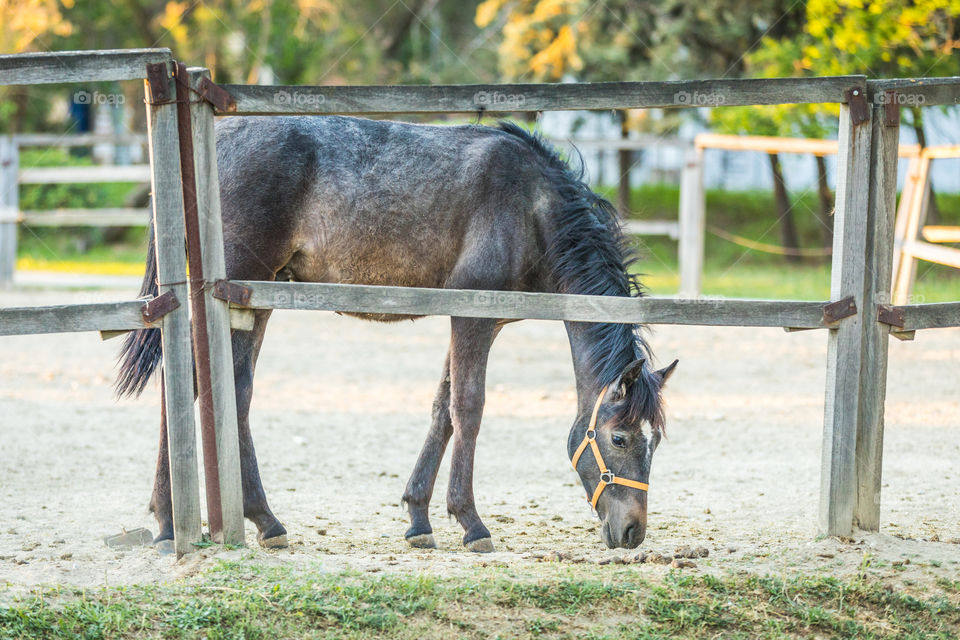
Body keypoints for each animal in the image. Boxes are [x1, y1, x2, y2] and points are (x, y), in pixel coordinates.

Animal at [118, 117, 676, 552]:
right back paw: (173, 522)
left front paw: (418, 518)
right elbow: (468, 409)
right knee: (191, 383)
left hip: (254, 300)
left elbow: (442, 410)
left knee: (230, 389)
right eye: (620, 437)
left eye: (654, 441)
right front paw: (471, 523)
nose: (633, 532)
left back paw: (254, 520)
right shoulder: (471, 319)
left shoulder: (481, 323)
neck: (534, 208)